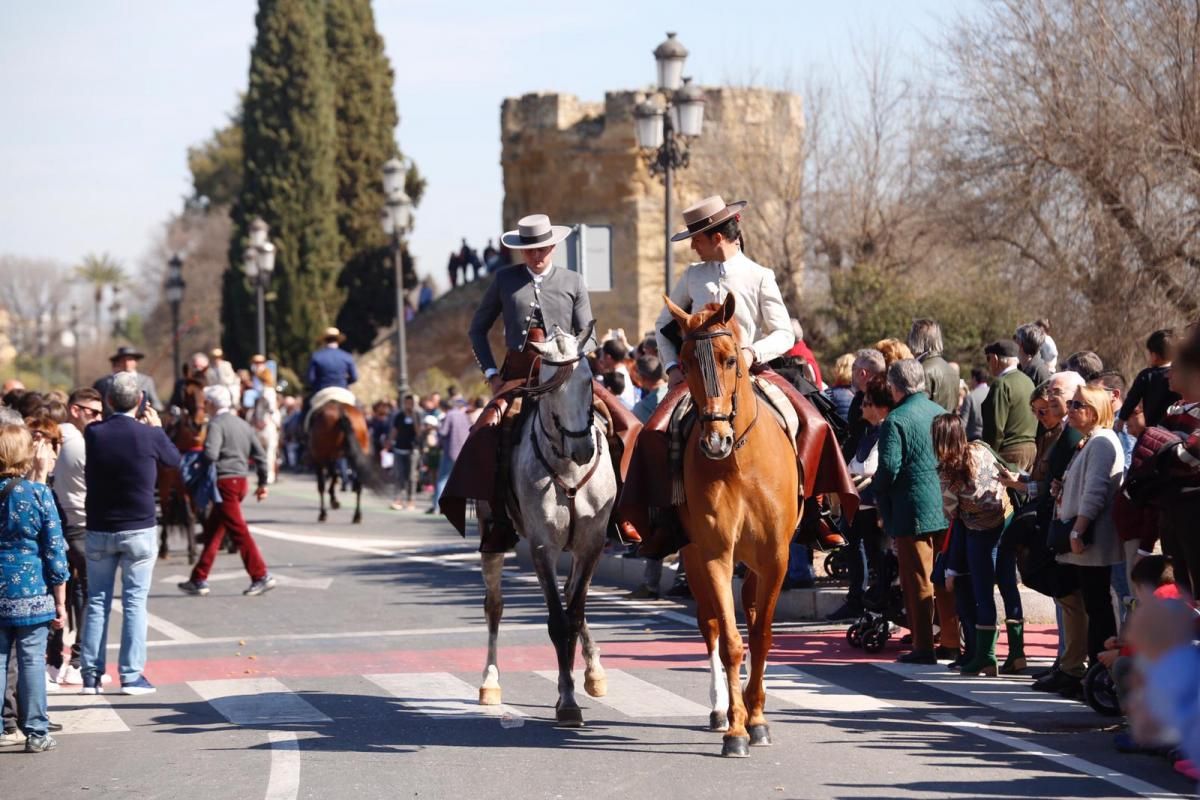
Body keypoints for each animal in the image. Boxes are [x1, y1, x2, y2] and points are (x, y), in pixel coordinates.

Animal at [477, 321, 614, 729]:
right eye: (550, 386)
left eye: (588, 379)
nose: (583, 449)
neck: (568, 469)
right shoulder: (542, 547)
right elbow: (558, 622)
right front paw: (566, 699)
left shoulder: (591, 543)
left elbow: (575, 613)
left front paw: (582, 680)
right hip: (492, 536)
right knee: (495, 606)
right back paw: (490, 682)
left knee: (572, 599)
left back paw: (594, 671)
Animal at [672, 293, 801, 758]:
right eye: (685, 361)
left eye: (731, 359)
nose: (715, 441)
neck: (739, 462)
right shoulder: (715, 554)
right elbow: (729, 640)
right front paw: (736, 729)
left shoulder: (776, 557)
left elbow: (761, 635)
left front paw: (757, 718)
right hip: (695, 557)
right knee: (710, 623)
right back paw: (721, 708)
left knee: (748, 610)